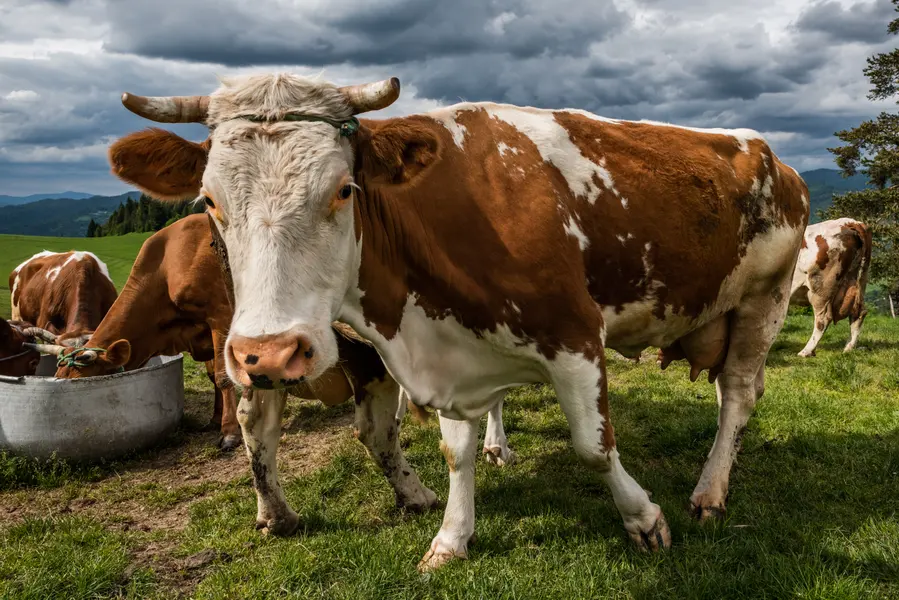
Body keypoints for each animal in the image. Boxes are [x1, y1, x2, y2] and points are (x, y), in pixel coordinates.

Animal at [53, 213, 439, 519]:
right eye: (59, 372)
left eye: (78, 373)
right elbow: (215, 377)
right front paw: (214, 420)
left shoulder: (218, 316)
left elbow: (224, 379)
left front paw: (226, 434)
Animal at [109, 73, 809, 569]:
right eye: (209, 200)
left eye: (344, 190)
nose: (270, 355)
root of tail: (774, 158)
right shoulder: (447, 354)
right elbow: (455, 450)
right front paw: (451, 536)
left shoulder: (575, 336)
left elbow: (593, 444)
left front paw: (643, 519)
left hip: (764, 299)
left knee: (738, 393)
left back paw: (710, 491)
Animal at [790, 218, 872, 357]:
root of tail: (850, 222)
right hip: (859, 280)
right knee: (859, 312)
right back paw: (848, 348)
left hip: (820, 288)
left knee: (823, 319)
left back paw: (806, 351)